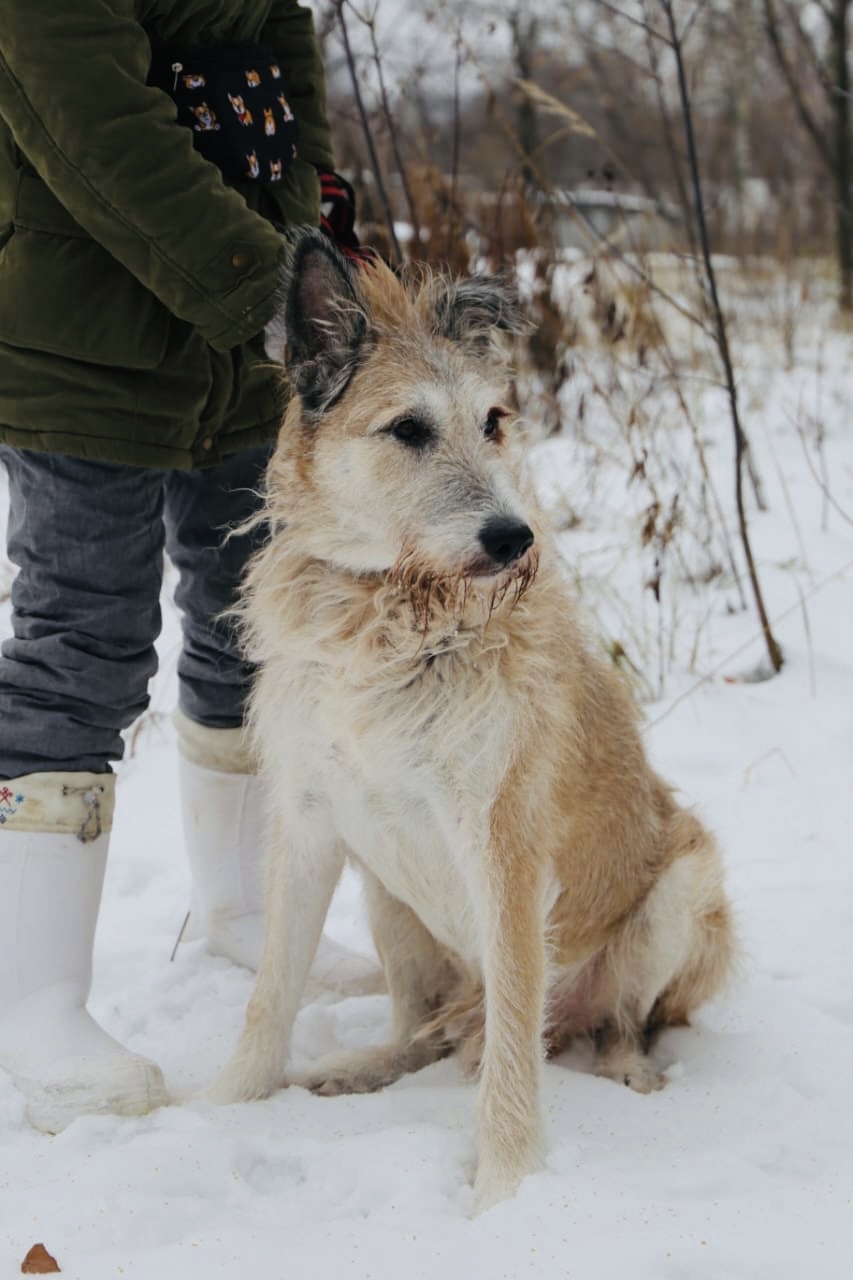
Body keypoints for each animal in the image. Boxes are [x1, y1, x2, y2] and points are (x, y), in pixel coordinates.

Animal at [208, 235, 732, 1213]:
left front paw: (503, 1194)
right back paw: (366, 1066)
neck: (391, 613)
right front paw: (219, 1107)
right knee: (432, 1027)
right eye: (408, 429)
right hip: (388, 896)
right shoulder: (309, 821)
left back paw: (630, 1076)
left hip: (680, 890)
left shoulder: (504, 846)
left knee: (605, 1025)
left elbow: (513, 1051)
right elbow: (269, 992)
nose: (513, 539)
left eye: (493, 422)